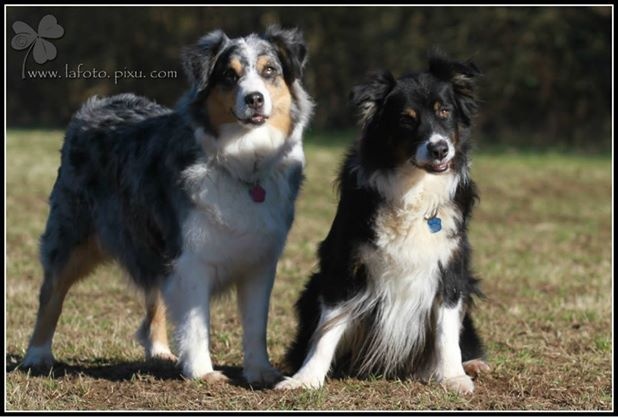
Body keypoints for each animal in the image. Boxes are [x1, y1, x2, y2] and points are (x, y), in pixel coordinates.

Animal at [21, 24, 312, 386]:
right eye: (229, 76)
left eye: (269, 70)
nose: (254, 98)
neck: (243, 163)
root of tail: (97, 103)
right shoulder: (191, 255)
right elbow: (196, 323)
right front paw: (203, 372)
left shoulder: (259, 260)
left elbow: (256, 324)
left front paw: (260, 371)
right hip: (72, 233)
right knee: (51, 293)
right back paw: (37, 355)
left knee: (156, 297)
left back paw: (159, 350)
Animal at [276, 52, 488, 394]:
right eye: (406, 119)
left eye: (445, 111)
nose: (440, 148)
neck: (414, 188)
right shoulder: (344, 265)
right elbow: (326, 330)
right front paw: (305, 379)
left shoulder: (451, 267)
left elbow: (446, 330)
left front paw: (453, 376)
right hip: (312, 288)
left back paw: (473, 364)